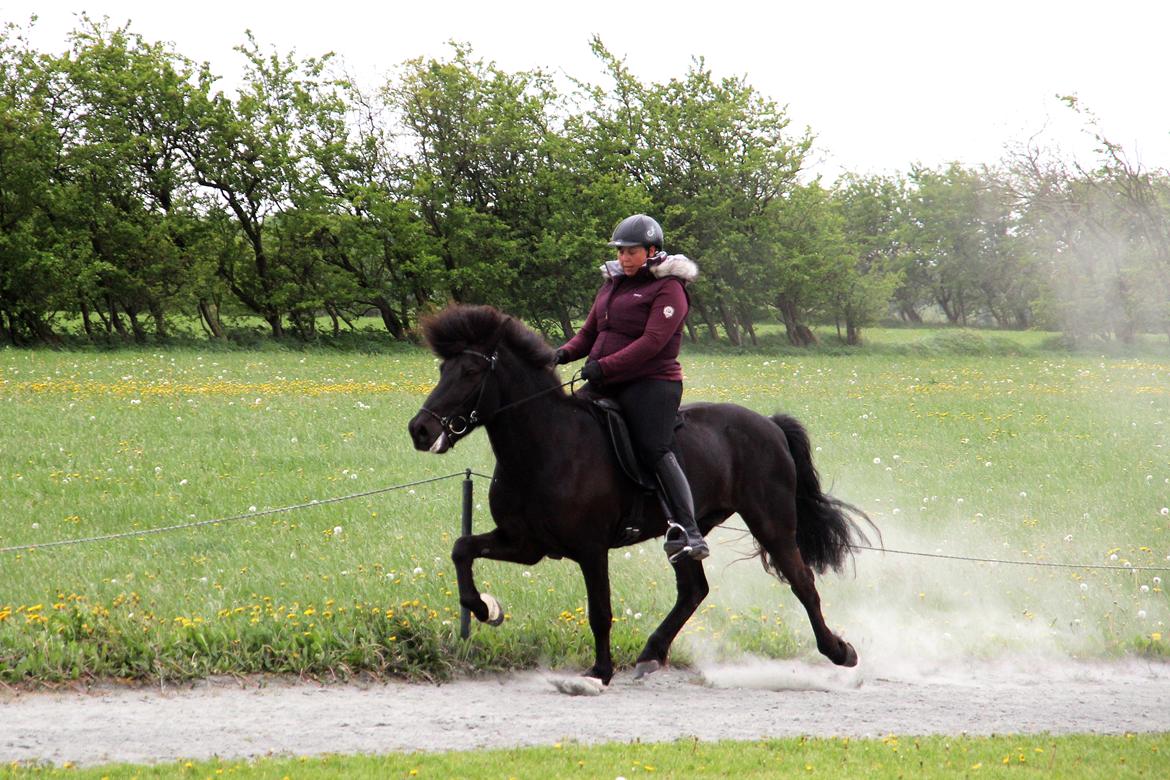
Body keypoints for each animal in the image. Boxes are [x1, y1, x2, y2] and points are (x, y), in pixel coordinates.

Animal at [407, 304, 875, 682]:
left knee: (802, 583)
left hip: (772, 523)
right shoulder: (525, 544)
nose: (420, 430)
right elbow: (462, 549)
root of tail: (770, 425)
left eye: (470, 372)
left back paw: (840, 651)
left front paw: (599, 671)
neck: (546, 447)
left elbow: (600, 611)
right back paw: (652, 652)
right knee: (693, 591)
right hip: (688, 533)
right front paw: (486, 609)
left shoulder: (590, 549)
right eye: (442, 370)